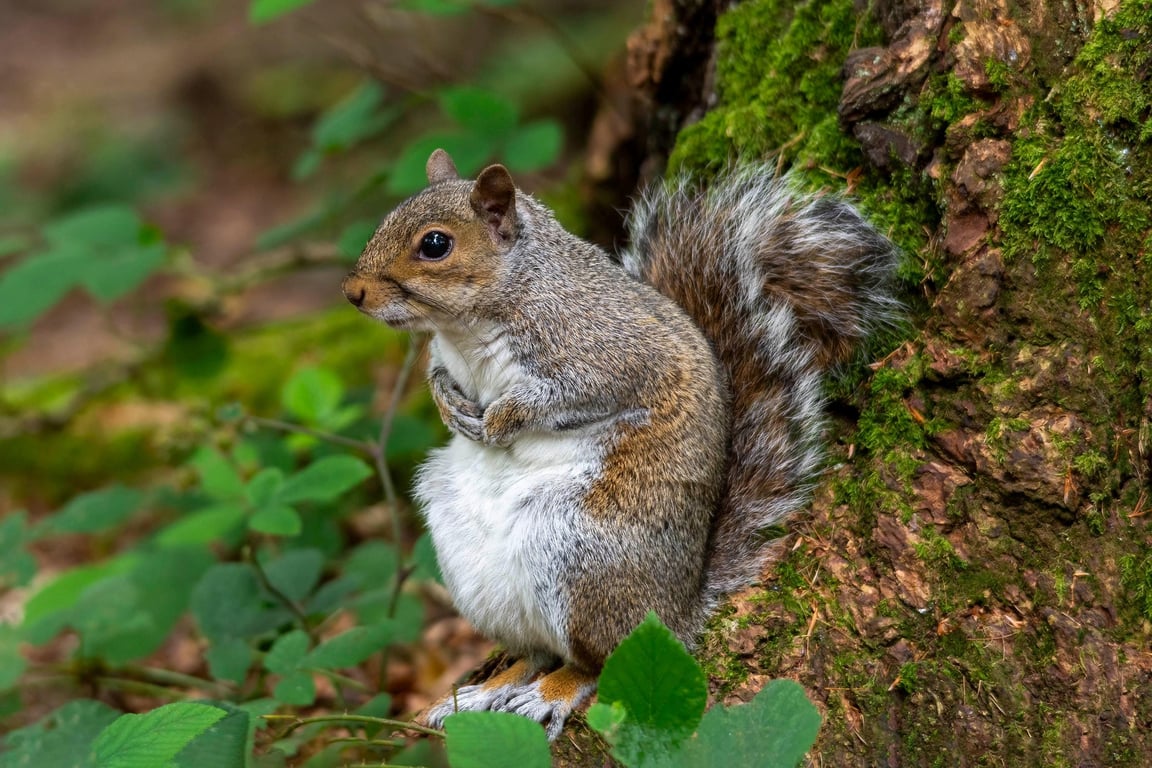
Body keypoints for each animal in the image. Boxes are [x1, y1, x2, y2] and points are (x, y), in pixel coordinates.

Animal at [342, 148, 899, 739]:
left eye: (435, 244)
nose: (352, 292)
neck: (468, 326)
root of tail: (677, 608)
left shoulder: (607, 351)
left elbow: (566, 394)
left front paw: (501, 420)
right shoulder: (447, 354)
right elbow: (436, 374)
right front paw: (450, 405)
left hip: (578, 553)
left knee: (597, 661)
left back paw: (551, 694)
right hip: (476, 571)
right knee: (535, 651)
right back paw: (485, 691)